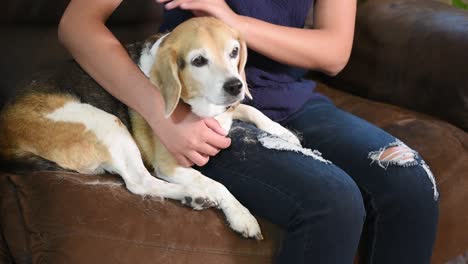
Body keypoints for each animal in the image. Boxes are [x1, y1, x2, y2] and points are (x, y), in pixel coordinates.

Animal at [0, 16, 300, 239]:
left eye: (234, 52)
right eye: (198, 61)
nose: (235, 85)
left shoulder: (227, 110)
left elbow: (253, 111)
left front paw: (286, 135)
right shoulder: (171, 165)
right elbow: (217, 184)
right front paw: (241, 214)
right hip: (107, 123)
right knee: (139, 183)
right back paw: (192, 195)